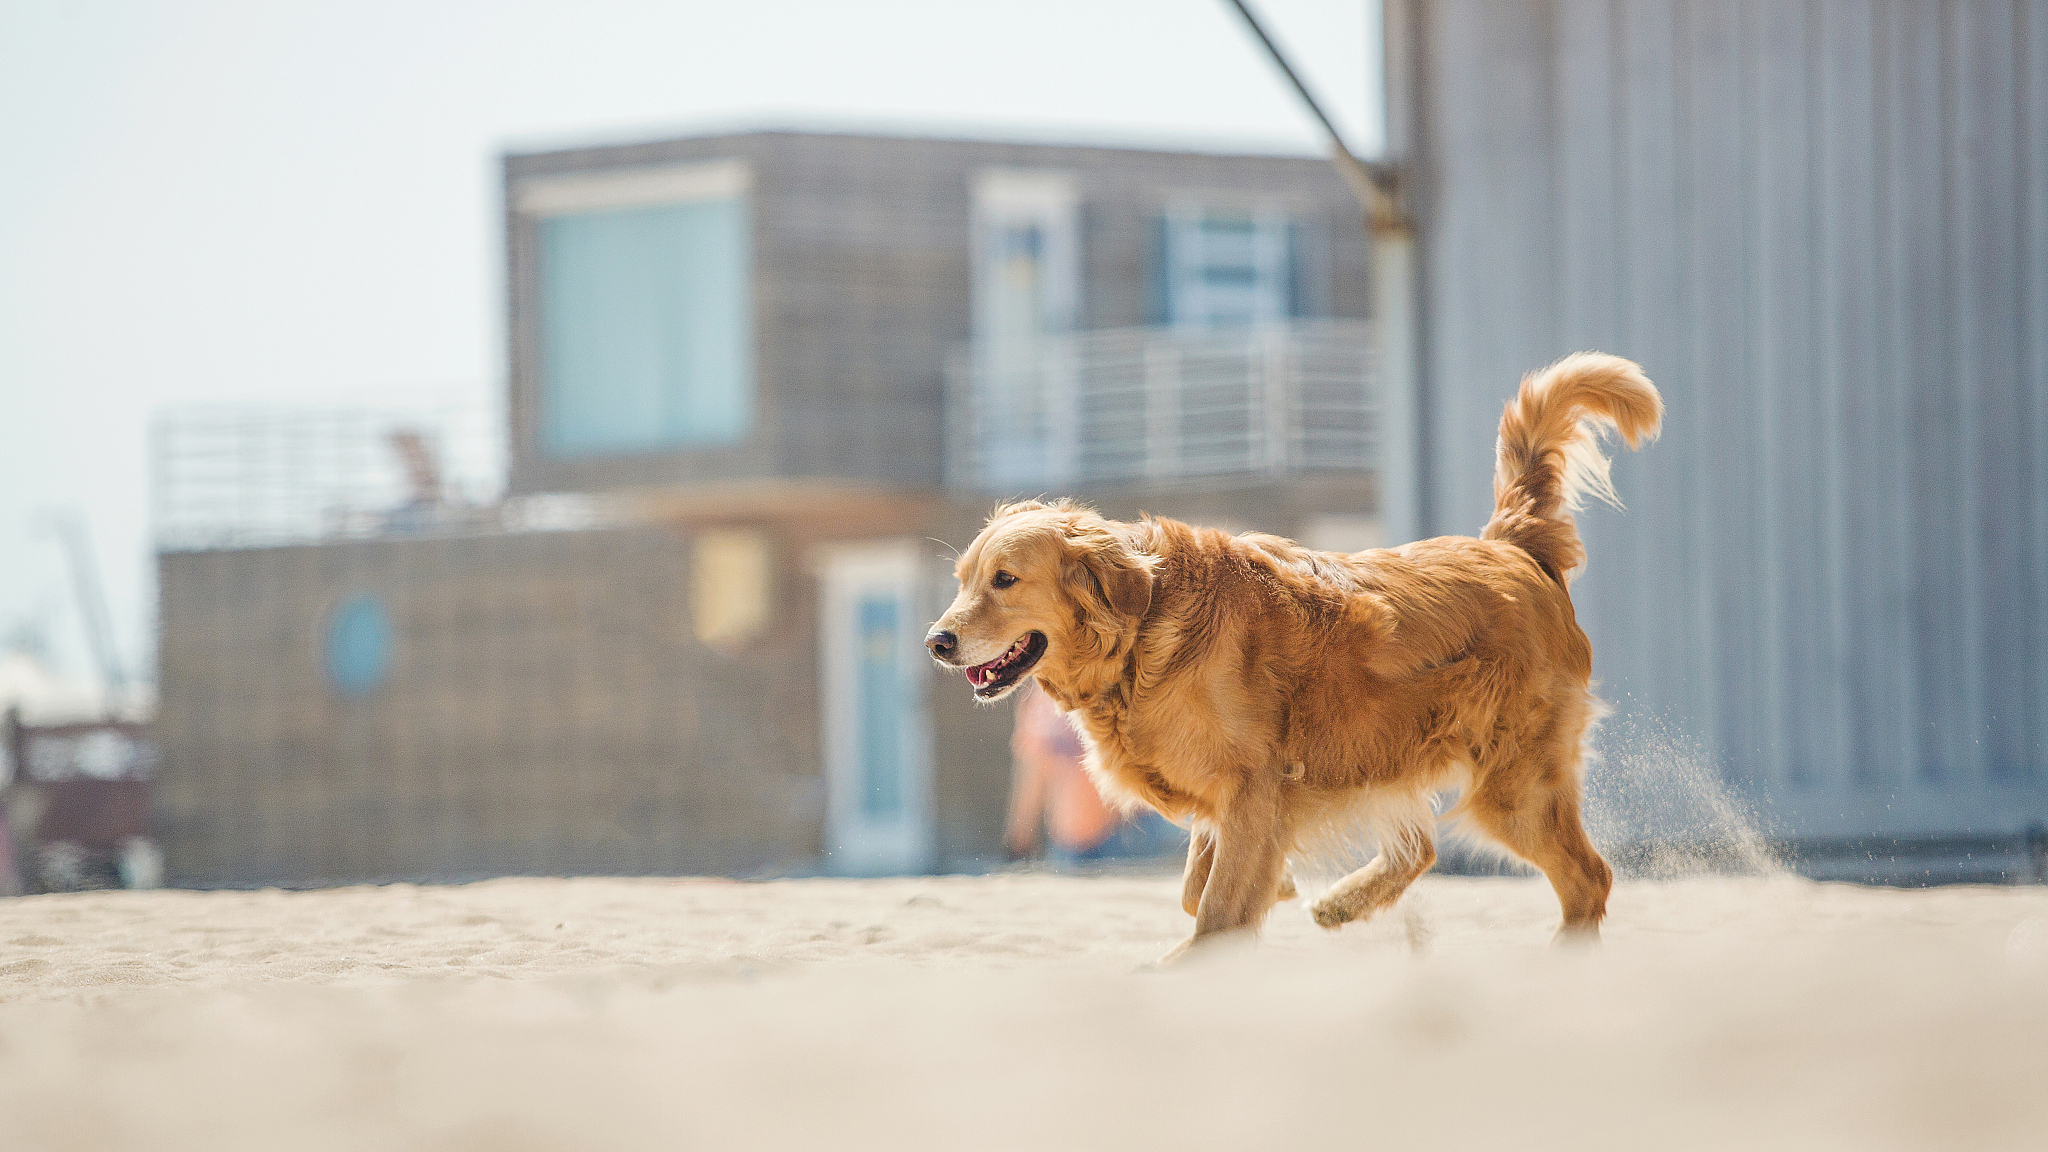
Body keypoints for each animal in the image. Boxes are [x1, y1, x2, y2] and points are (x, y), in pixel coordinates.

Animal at [929, 352, 1662, 959]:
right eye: (962, 580)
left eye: (1005, 580)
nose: (936, 641)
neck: (1144, 630)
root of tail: (1512, 546)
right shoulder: (1236, 795)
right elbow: (1199, 890)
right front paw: (1276, 890)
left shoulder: (1256, 789)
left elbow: (1217, 912)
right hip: (1382, 748)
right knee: (1423, 846)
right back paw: (1346, 902)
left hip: (1513, 785)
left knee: (1589, 880)